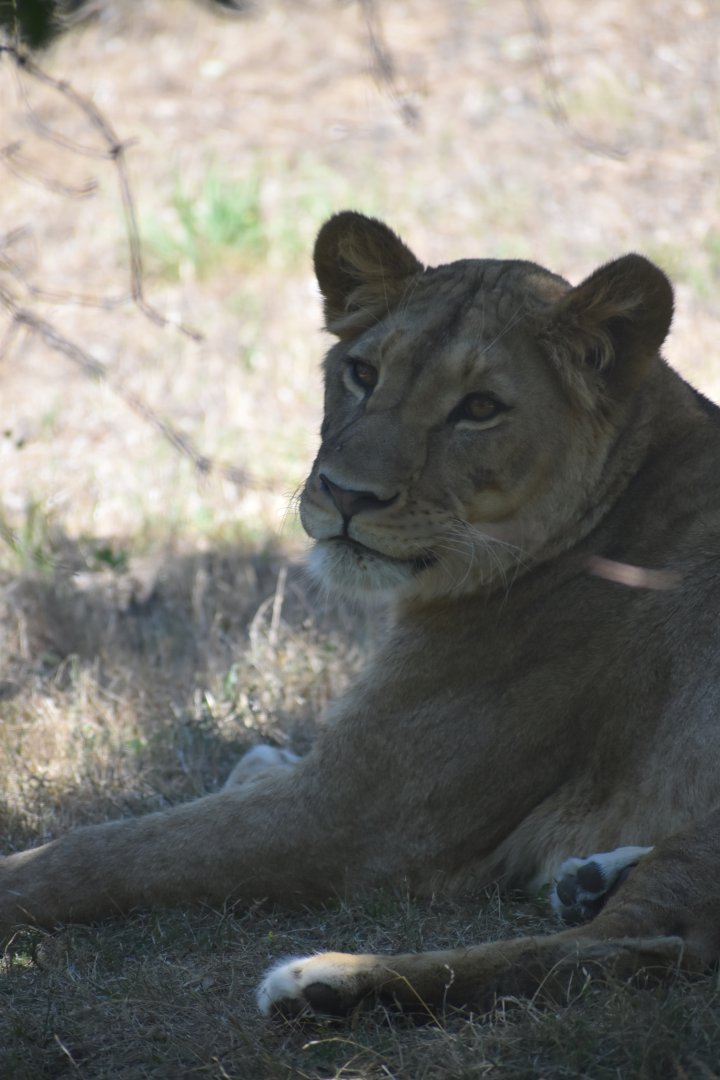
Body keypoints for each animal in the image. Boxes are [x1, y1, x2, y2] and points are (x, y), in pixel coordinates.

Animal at [2, 211, 720, 1018]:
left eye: (480, 408)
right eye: (364, 373)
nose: (346, 495)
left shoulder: (356, 815)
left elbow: (101, 850)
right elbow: (243, 773)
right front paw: (259, 761)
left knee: (634, 947)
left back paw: (320, 982)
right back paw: (589, 879)